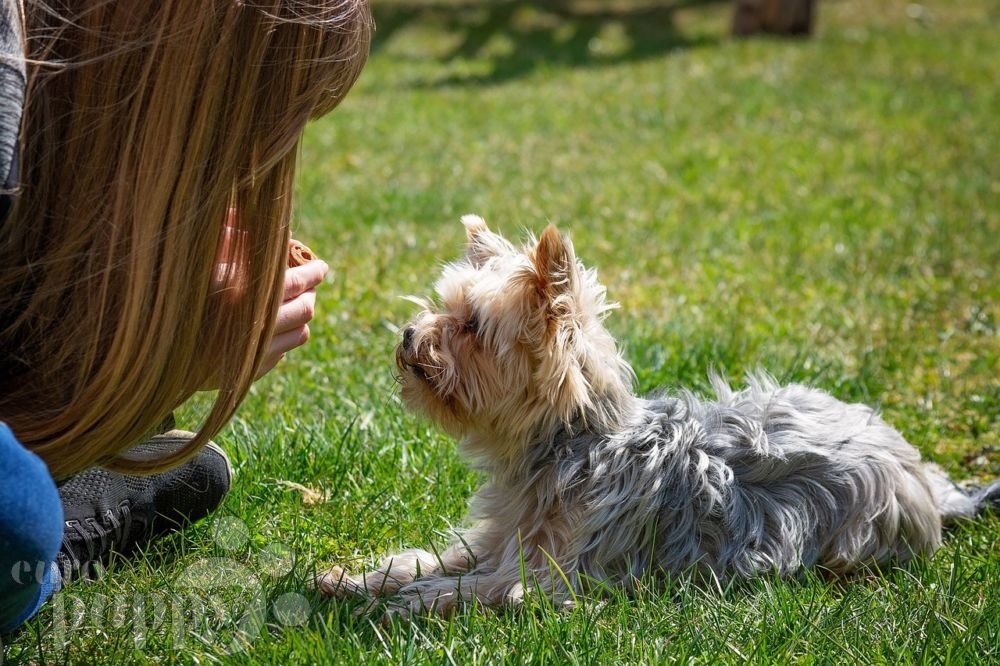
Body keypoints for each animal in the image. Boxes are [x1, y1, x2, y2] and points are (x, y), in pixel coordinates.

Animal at [318, 217, 992, 616]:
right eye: (442, 307)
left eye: (471, 327)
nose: (409, 336)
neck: (571, 445)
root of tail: (924, 479)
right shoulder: (500, 537)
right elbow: (441, 559)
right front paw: (358, 578)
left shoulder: (558, 577)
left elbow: (479, 586)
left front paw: (403, 602)